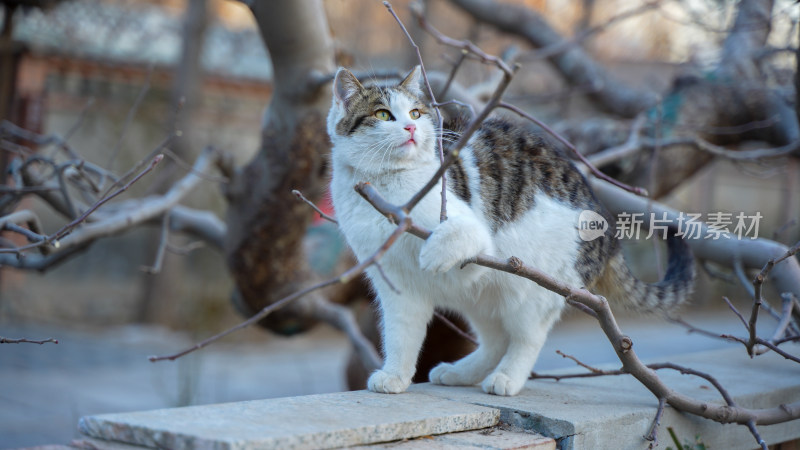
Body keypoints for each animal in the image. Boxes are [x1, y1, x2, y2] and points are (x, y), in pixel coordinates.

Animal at [326, 65, 692, 396]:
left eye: (416, 112)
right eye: (383, 114)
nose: (411, 126)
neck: (385, 184)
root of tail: (609, 231)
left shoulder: (475, 235)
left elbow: (458, 234)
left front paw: (433, 253)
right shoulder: (396, 285)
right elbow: (401, 336)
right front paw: (396, 377)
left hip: (532, 290)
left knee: (527, 338)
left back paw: (507, 378)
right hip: (480, 295)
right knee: (496, 339)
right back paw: (461, 372)